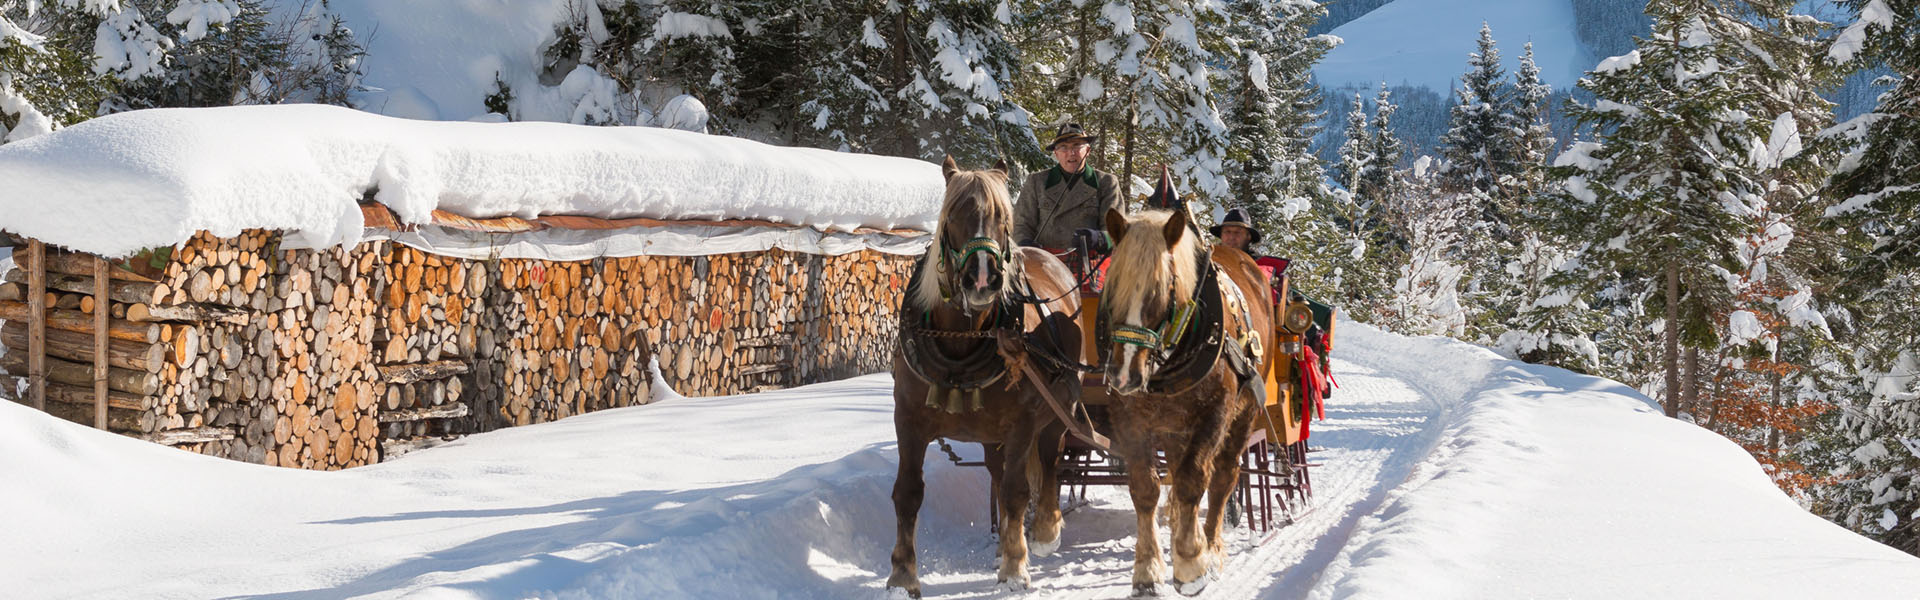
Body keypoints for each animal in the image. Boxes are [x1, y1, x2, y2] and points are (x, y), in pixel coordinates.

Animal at [890, 156, 1090, 596]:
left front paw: (1016, 568)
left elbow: (1017, 493)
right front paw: (902, 576)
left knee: (1049, 461)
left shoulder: (1023, 422)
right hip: (990, 434)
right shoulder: (908, 418)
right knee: (998, 474)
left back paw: (1044, 532)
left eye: (1002, 218)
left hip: (1058, 410)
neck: (962, 343)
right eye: (953, 216)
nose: (982, 278)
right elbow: (908, 492)